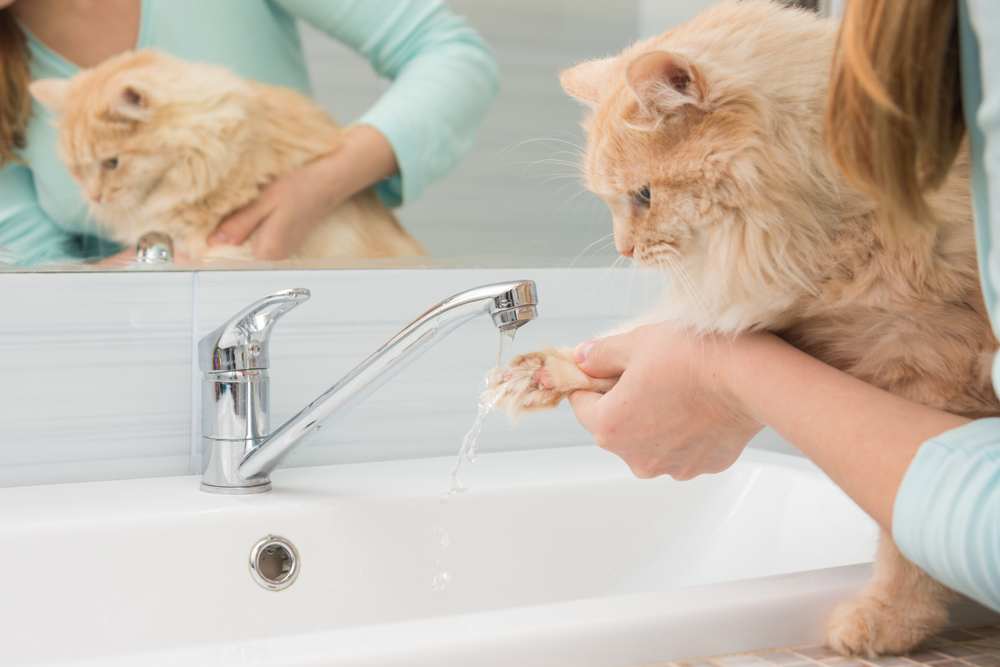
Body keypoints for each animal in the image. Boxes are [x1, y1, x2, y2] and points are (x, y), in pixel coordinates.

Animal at [496, 0, 1000, 656]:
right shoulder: (803, 324)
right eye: (614, 202)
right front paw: (537, 374)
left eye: (643, 195)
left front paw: (887, 620)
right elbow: (606, 353)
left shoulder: (932, 370)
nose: (624, 249)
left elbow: (903, 541)